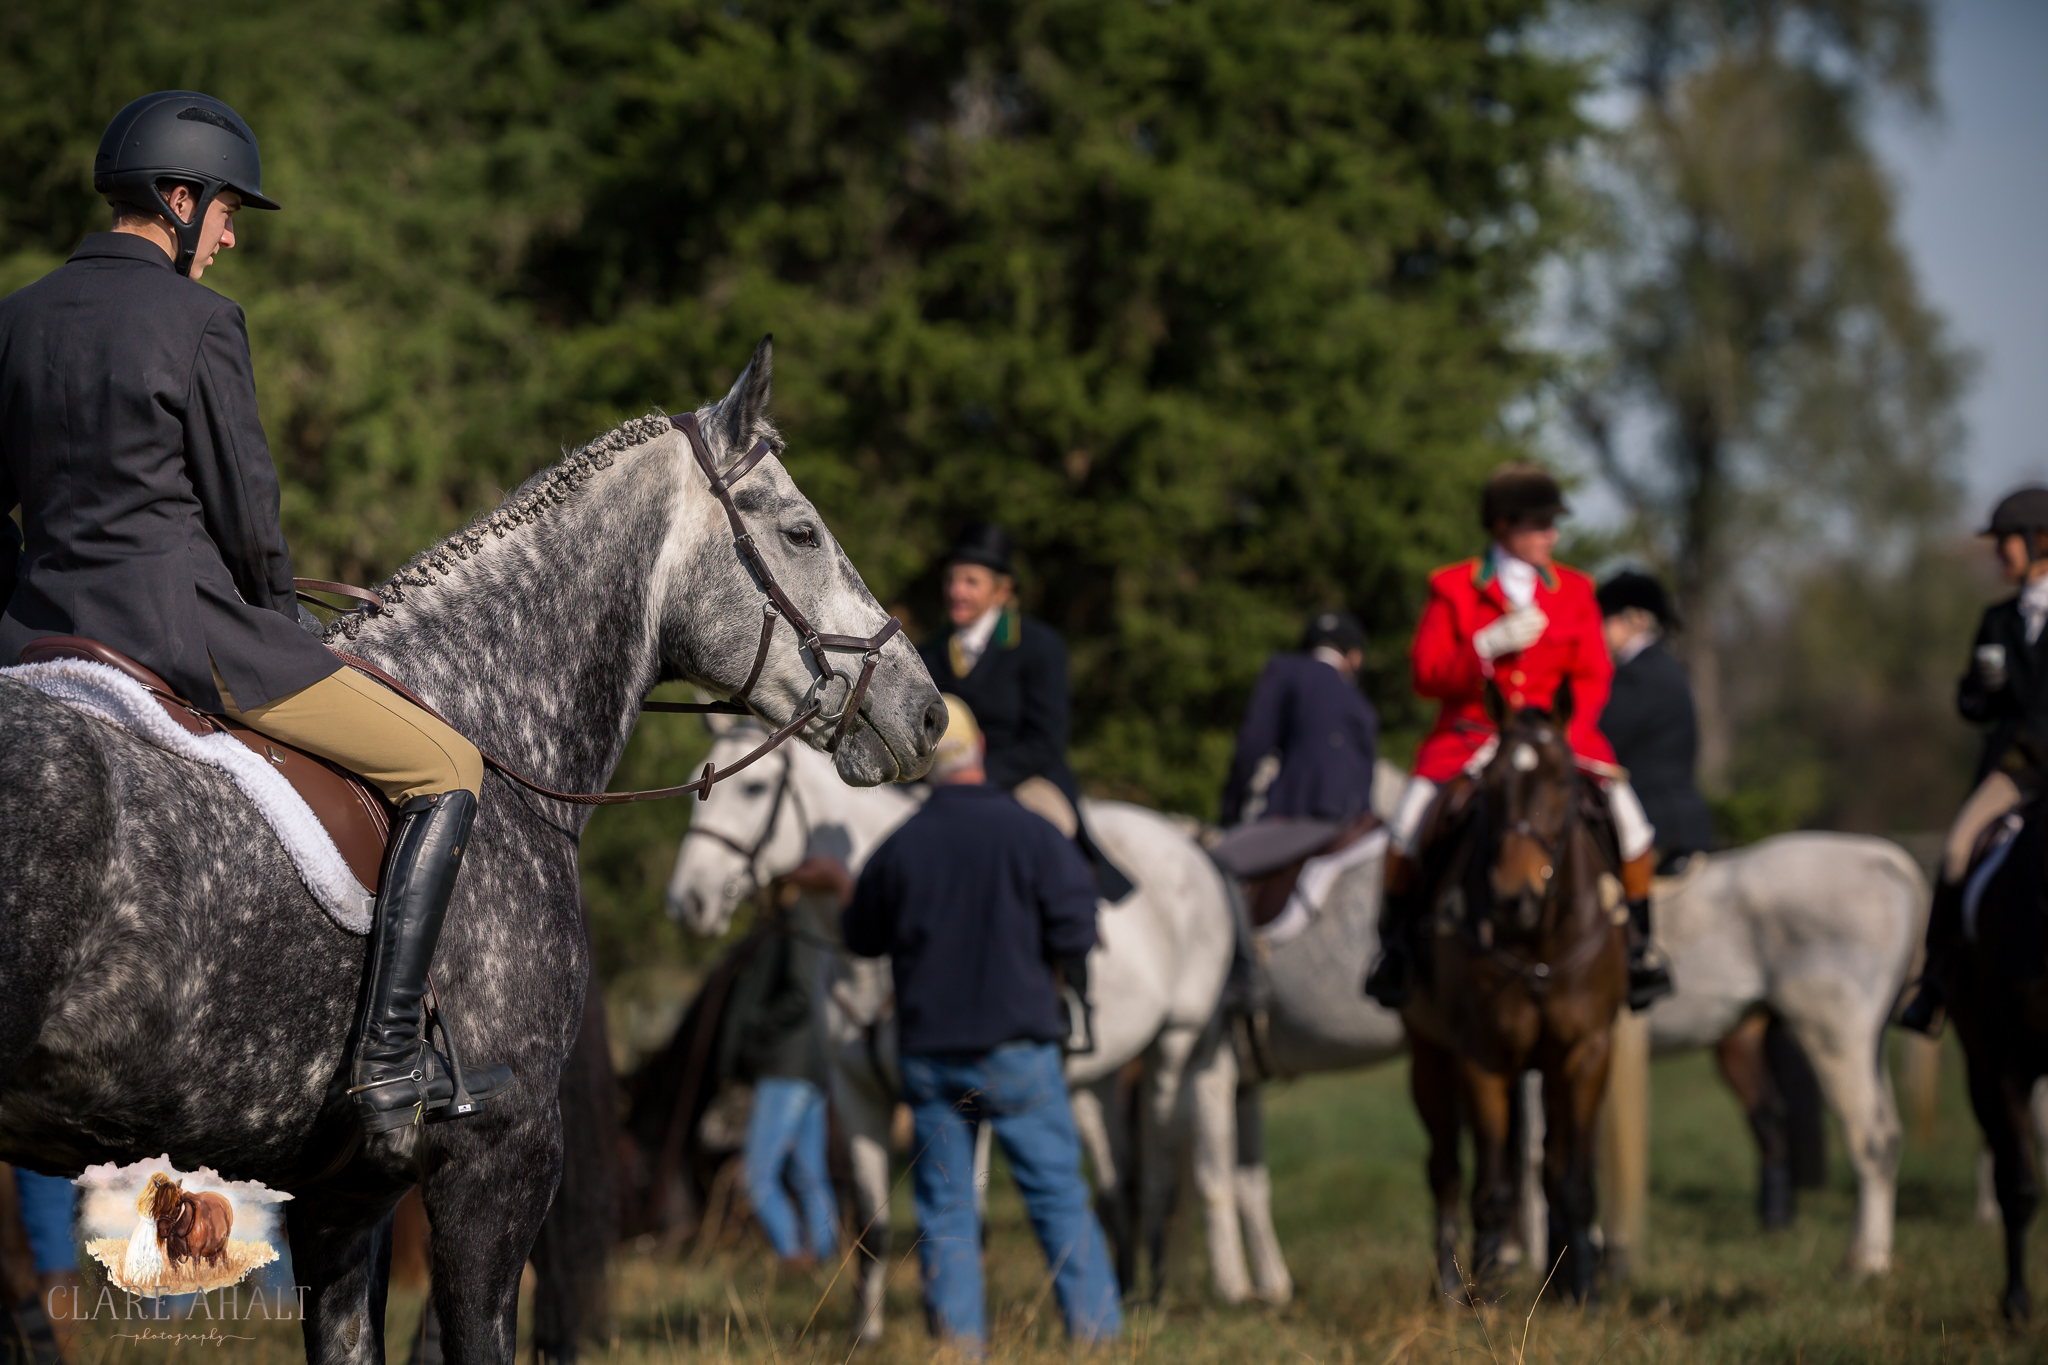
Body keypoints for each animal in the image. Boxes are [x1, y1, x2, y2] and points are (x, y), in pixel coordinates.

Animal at [667, 724, 1228, 1342]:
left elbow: (964, 1221)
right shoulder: (858, 1094)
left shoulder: (967, 1094)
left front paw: (949, 1330)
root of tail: (1185, 840)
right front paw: (868, 1335)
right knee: (1113, 1186)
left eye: (755, 787)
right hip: (1094, 1080)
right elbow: (873, 1227)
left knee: (1157, 1180)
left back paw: (1152, 1299)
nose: (688, 902)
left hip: (1173, 1048)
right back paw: (1121, 1294)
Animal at [1400, 683, 1622, 1301]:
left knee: (1543, 1168)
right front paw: (1489, 1283)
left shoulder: (1586, 1051)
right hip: (1430, 1055)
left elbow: (1571, 1179)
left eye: (1563, 780)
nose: (1512, 895)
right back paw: (1452, 1282)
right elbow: (1492, 1185)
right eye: (1492, 786)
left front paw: (1583, 1286)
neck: (1537, 934)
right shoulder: (1484, 1056)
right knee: (1448, 1169)